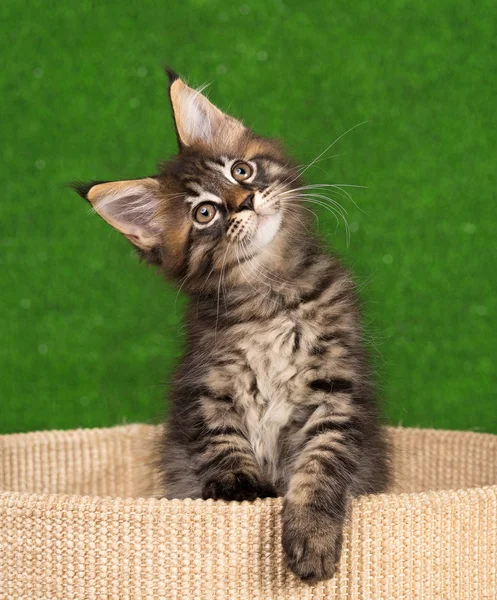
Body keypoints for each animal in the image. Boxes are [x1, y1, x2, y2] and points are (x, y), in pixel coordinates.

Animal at [72, 69, 388, 580]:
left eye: (241, 170)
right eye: (205, 213)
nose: (248, 200)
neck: (270, 296)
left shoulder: (335, 388)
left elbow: (321, 466)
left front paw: (312, 540)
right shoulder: (207, 387)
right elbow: (224, 447)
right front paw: (246, 492)